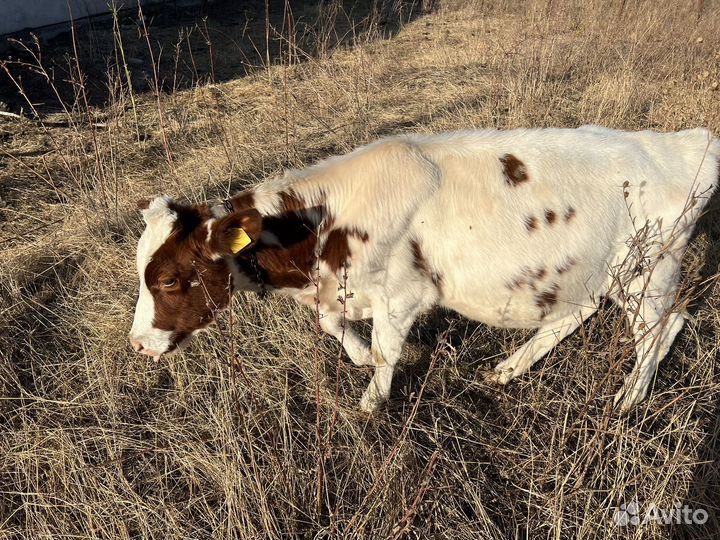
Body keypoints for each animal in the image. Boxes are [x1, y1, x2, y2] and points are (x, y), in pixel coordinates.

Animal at [129, 126, 719, 413]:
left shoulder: (402, 293)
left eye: (167, 279)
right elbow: (333, 325)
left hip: (649, 268)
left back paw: (627, 400)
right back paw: (509, 369)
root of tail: (684, 144)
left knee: (666, 326)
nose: (136, 343)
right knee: (577, 312)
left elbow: (386, 351)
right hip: (593, 269)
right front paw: (361, 356)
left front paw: (370, 403)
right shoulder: (346, 290)